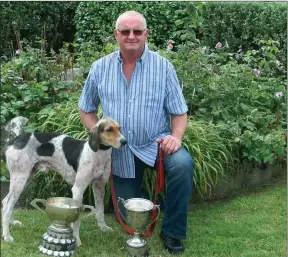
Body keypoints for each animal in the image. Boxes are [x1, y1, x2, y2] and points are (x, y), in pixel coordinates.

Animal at [1, 117, 126, 245]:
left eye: (119, 128)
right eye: (109, 129)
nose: (124, 141)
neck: (99, 153)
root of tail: (12, 141)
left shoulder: (99, 187)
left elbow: (100, 211)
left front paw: (103, 228)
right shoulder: (78, 189)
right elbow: (77, 220)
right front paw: (76, 239)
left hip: (25, 179)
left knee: (6, 202)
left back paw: (12, 223)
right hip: (19, 180)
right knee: (7, 207)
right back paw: (7, 236)